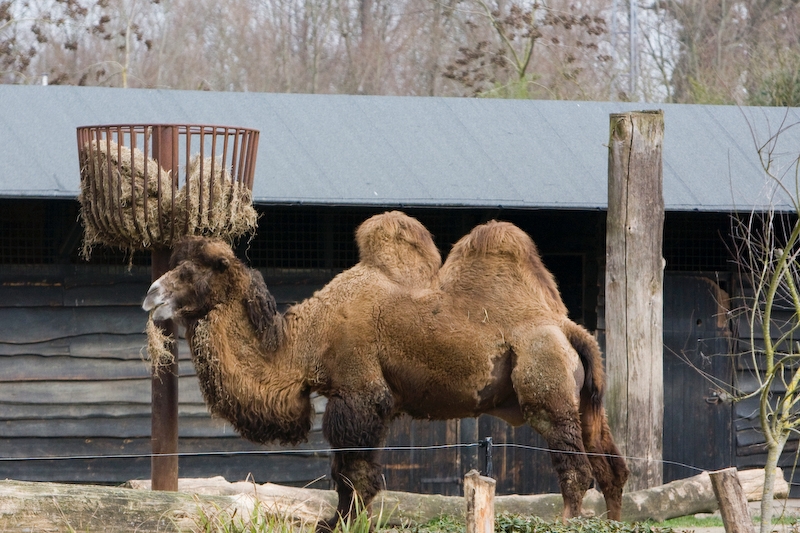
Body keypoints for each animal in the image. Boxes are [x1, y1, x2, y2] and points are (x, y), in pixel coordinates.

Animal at [142, 211, 629, 530]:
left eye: (192, 272)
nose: (150, 295)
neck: (307, 340)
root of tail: (569, 328)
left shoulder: (358, 394)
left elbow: (354, 476)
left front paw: (340, 525)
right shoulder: (369, 401)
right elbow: (351, 475)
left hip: (545, 381)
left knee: (575, 470)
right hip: (585, 401)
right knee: (612, 469)